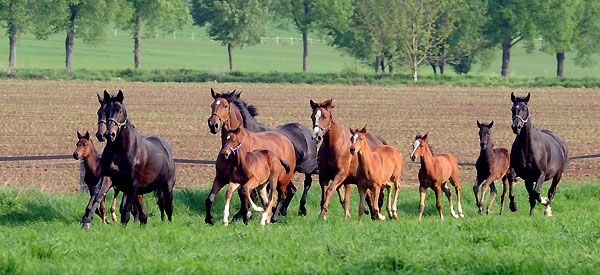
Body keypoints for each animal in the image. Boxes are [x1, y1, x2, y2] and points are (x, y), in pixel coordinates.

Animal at [79, 90, 175, 229]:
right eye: (102, 112)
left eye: (120, 111)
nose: (108, 134)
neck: (122, 150)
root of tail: (167, 149)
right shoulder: (108, 178)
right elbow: (98, 195)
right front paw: (87, 220)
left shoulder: (131, 184)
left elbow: (125, 210)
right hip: (140, 192)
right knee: (144, 214)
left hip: (166, 186)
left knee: (167, 207)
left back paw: (167, 224)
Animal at [206, 89, 316, 225]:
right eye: (212, 105)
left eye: (225, 106)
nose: (213, 125)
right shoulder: (222, 177)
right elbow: (211, 198)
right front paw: (211, 219)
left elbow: (249, 196)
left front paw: (244, 216)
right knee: (290, 190)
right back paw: (281, 211)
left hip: (301, 171)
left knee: (306, 184)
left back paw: (299, 209)